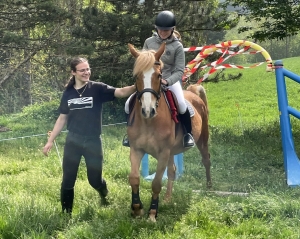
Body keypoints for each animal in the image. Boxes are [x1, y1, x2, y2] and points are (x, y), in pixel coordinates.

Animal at [126, 42, 211, 222]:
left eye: (159, 76)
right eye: (136, 76)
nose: (148, 110)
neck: (149, 122)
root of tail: (193, 92)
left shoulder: (163, 152)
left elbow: (157, 183)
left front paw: (152, 213)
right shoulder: (136, 149)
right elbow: (134, 178)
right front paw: (137, 209)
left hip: (202, 139)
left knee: (206, 160)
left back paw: (209, 188)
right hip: (172, 151)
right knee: (172, 171)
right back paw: (167, 198)